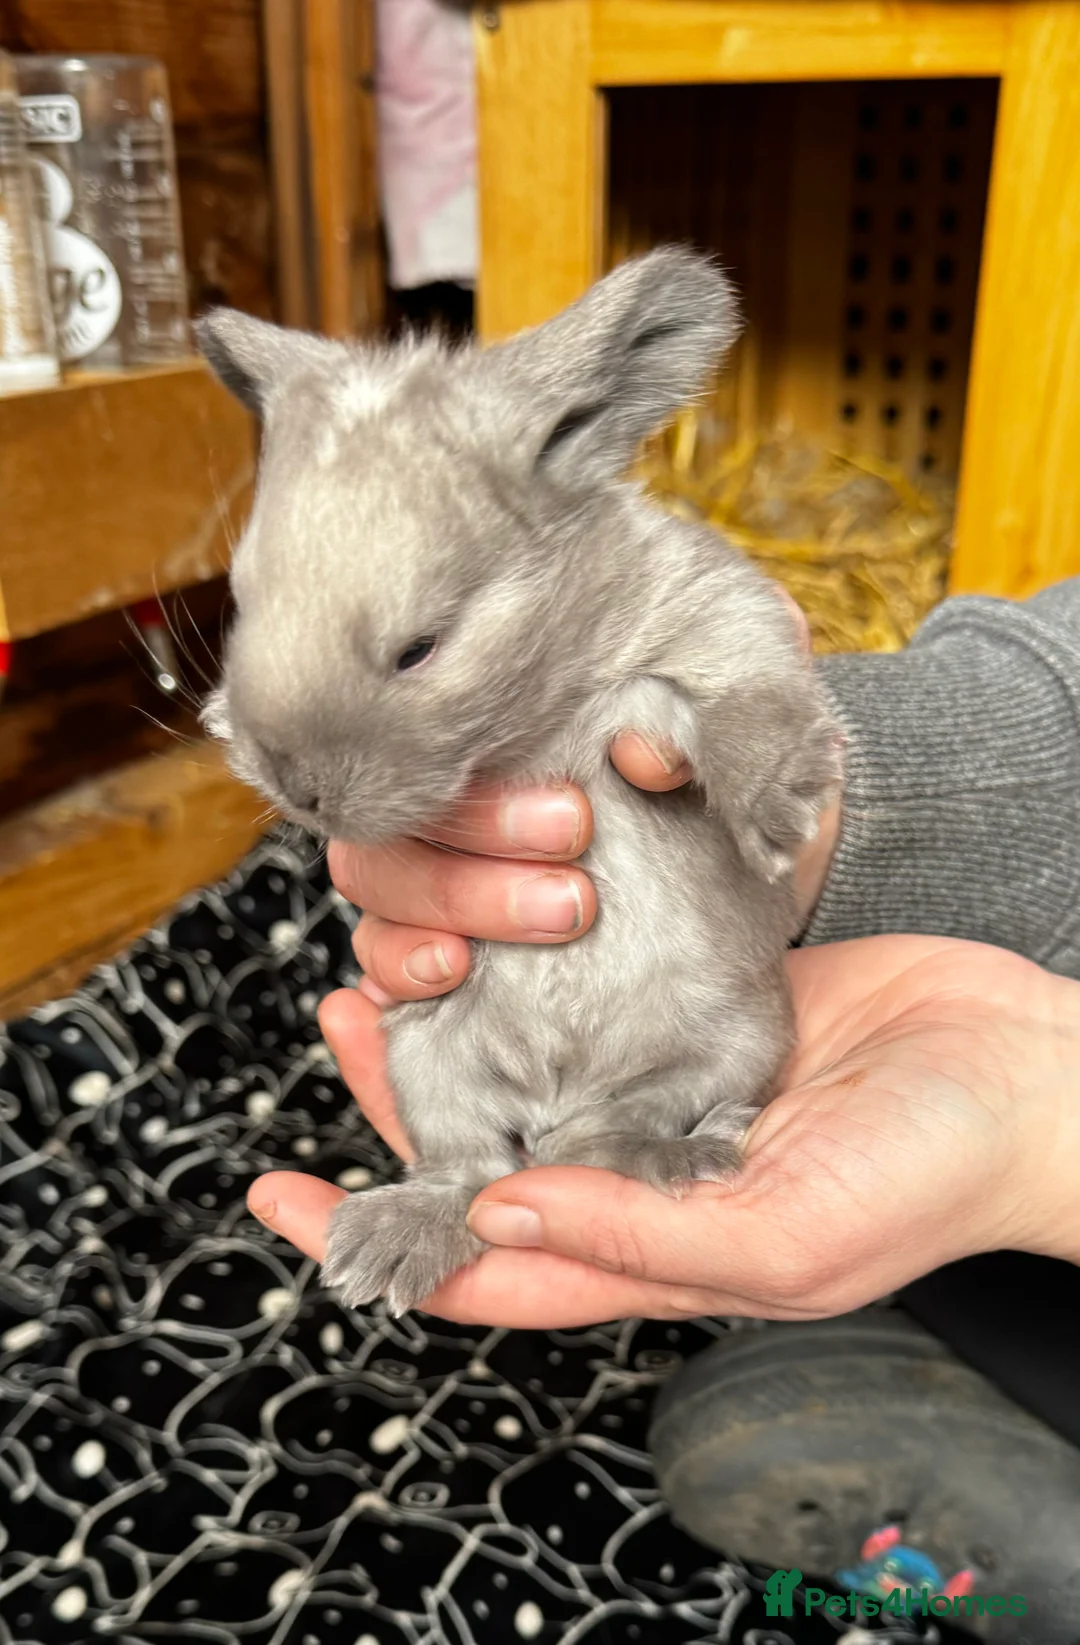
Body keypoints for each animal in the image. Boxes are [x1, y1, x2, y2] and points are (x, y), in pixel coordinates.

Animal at [197, 247, 842, 1316]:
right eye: (243, 605)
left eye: (419, 648)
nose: (302, 790)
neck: (535, 710)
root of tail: (557, 1097)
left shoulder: (709, 626)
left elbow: (742, 698)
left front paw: (779, 810)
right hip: (429, 1058)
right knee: (475, 1169)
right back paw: (392, 1242)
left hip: (738, 1042)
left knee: (618, 1130)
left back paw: (688, 1154)